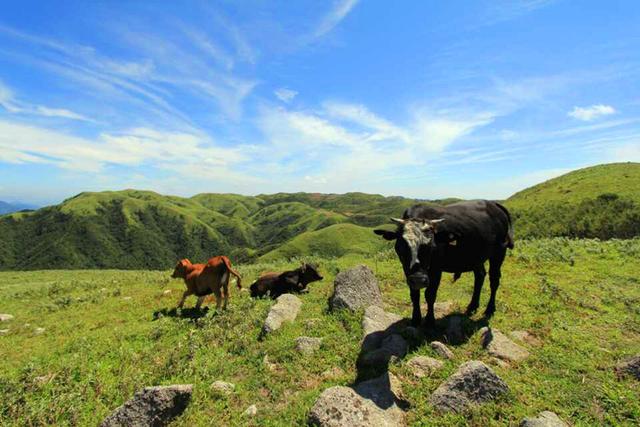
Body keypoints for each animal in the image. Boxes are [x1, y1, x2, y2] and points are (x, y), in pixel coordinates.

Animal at [372, 201, 512, 328]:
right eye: (401, 247)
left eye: (432, 246)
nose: (418, 280)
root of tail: (494, 204)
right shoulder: (407, 270)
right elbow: (414, 294)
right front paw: (416, 319)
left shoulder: (436, 269)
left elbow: (430, 294)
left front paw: (430, 321)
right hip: (476, 257)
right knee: (480, 276)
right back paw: (472, 306)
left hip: (499, 252)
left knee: (494, 280)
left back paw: (490, 309)